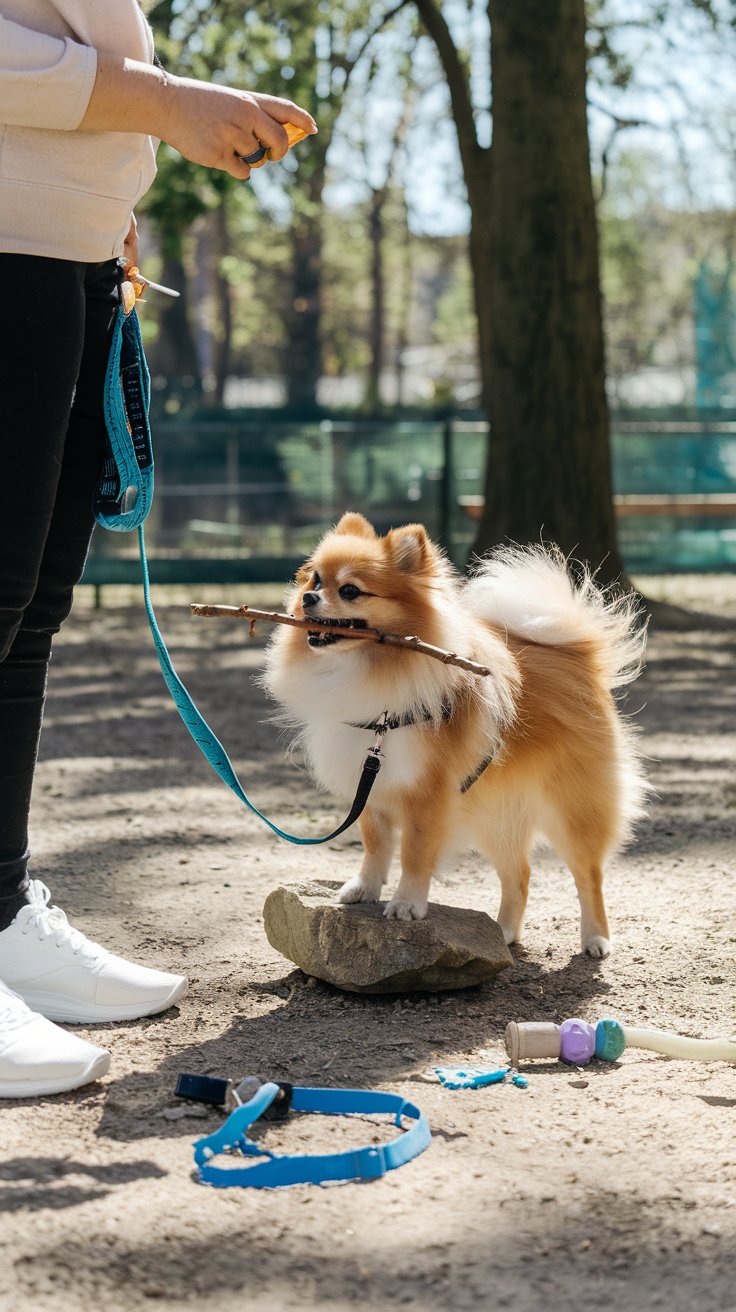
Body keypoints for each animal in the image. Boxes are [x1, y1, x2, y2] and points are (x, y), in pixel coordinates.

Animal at [262, 516, 642, 960]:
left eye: (350, 591)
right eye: (316, 580)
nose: (307, 598)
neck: (370, 670)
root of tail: (579, 657)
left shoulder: (428, 795)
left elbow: (413, 853)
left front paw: (406, 903)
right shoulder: (371, 783)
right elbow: (375, 845)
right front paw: (364, 888)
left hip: (571, 809)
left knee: (588, 876)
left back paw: (596, 939)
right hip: (496, 815)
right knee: (520, 873)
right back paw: (504, 932)